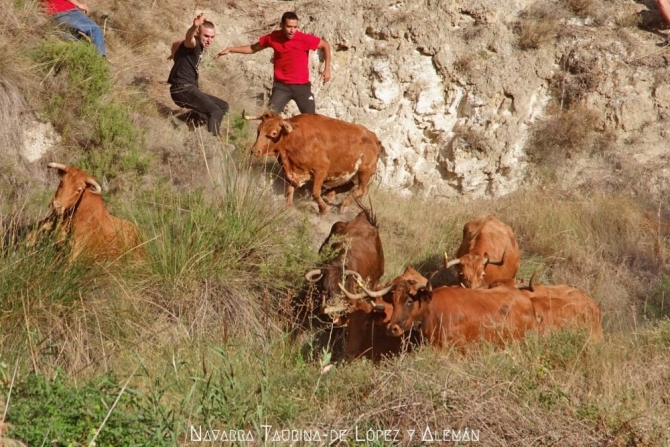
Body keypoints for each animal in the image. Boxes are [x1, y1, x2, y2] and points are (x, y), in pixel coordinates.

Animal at [244, 114, 380, 215]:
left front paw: (323, 210)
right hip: (352, 172)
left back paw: (343, 205)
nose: (254, 150)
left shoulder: (322, 168)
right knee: (350, 186)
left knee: (362, 189)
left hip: (365, 170)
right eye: (258, 130)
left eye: (273, 133)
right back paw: (330, 195)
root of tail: (372, 135)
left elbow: (315, 192)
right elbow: (289, 189)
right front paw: (288, 207)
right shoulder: (294, 173)